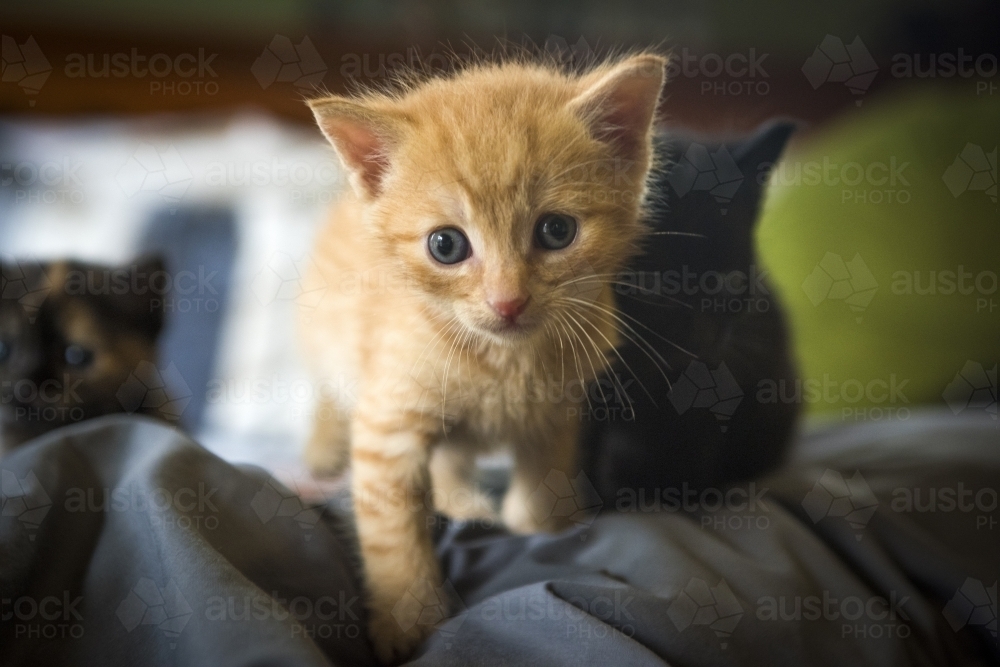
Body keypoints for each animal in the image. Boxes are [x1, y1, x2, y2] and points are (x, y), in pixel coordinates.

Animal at [300, 54, 668, 660]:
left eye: (557, 230)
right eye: (445, 245)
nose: (508, 301)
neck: (501, 362)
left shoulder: (556, 411)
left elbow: (542, 487)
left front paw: (546, 529)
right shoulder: (387, 417)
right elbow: (391, 527)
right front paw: (408, 618)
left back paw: (462, 504)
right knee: (328, 389)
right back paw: (323, 449)